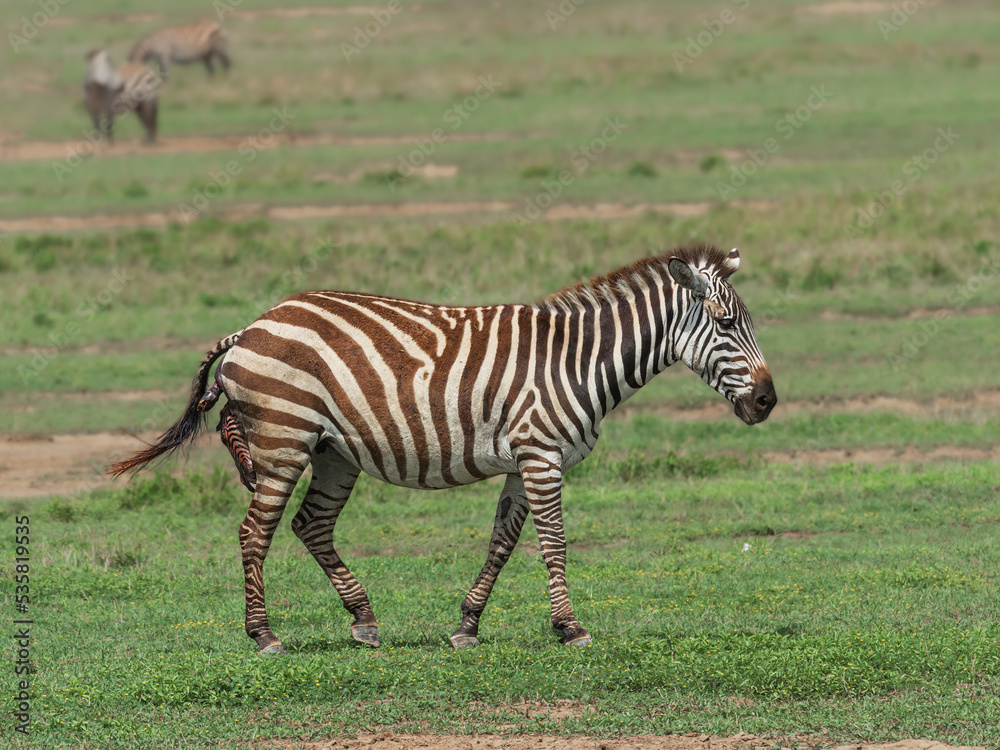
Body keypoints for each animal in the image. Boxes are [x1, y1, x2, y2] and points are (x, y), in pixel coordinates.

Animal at [108, 244, 776, 654]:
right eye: (724, 324)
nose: (768, 401)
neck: (577, 360)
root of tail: (250, 326)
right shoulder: (542, 454)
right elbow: (553, 542)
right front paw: (569, 627)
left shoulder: (523, 460)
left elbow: (503, 542)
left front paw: (467, 625)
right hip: (283, 439)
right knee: (256, 532)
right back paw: (264, 634)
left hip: (331, 451)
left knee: (310, 525)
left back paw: (364, 620)